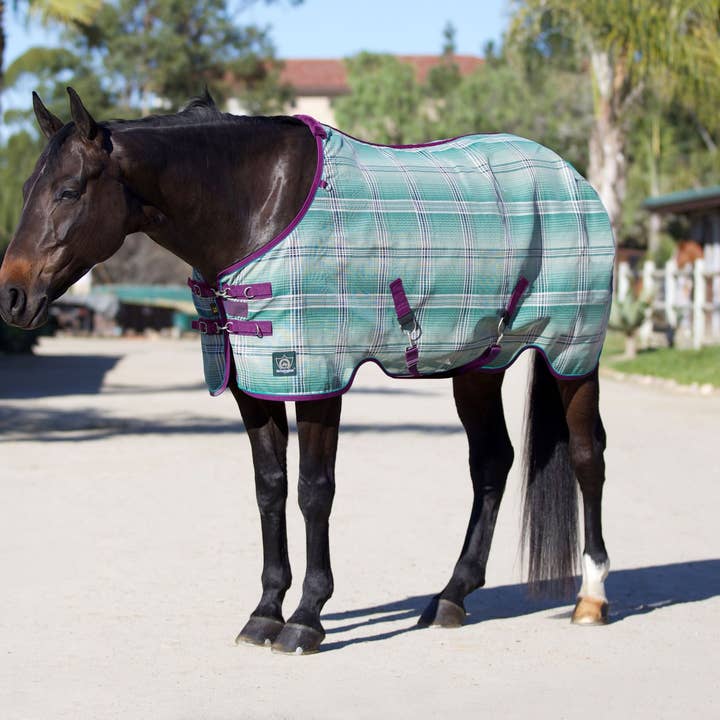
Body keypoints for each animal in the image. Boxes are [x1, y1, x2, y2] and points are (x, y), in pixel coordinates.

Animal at [0, 88, 614, 654]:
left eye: (68, 191)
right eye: (28, 189)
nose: (12, 296)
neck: (257, 207)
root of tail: (575, 180)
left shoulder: (319, 378)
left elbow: (314, 491)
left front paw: (305, 619)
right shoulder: (254, 385)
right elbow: (269, 489)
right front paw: (265, 612)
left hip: (573, 357)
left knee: (587, 457)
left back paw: (591, 597)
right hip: (478, 366)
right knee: (491, 462)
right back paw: (450, 598)